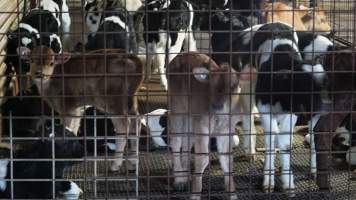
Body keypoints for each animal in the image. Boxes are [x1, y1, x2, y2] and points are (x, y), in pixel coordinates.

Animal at [168, 52, 248, 199]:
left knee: (187, 142)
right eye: (210, 85)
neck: (219, 118)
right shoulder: (202, 126)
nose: (217, 105)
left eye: (234, 85)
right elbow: (202, 159)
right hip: (177, 107)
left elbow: (227, 160)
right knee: (176, 141)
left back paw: (186, 174)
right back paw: (179, 180)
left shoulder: (226, 131)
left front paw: (232, 194)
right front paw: (195, 194)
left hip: (191, 117)